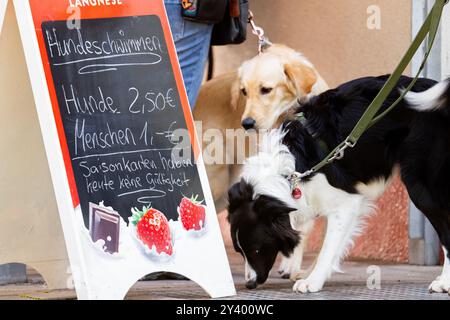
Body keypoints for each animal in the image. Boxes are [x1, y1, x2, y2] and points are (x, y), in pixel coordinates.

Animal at [229, 74, 450, 292]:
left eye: (256, 249)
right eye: (239, 251)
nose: (249, 284)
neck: (290, 168)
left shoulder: (346, 203)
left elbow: (327, 248)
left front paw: (312, 281)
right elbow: (328, 246)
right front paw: (311, 274)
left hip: (420, 185)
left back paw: (444, 283)